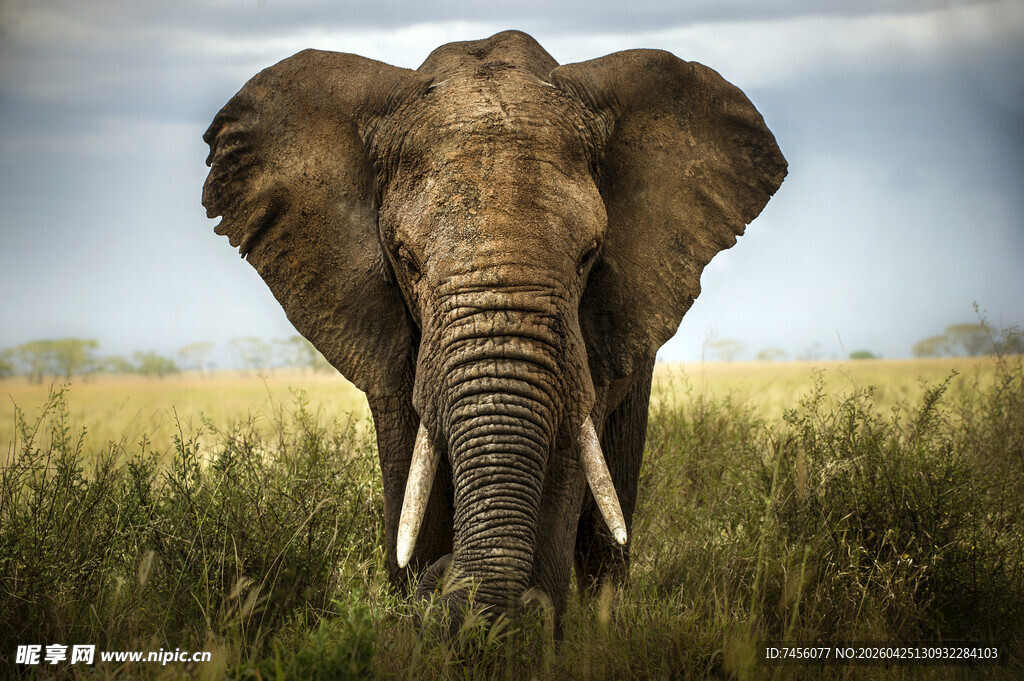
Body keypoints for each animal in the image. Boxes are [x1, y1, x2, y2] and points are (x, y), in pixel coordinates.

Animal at [202, 30, 786, 628]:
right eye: (406, 259)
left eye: (589, 256)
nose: (444, 581)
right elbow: (411, 474)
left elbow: (564, 463)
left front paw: (526, 627)